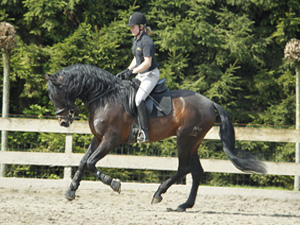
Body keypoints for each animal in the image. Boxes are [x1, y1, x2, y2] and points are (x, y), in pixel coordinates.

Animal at [45, 64, 266, 212]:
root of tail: (210, 102)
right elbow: (83, 162)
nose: (63, 122)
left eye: (56, 95)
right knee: (196, 171)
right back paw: (184, 205)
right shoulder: (98, 138)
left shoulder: (111, 140)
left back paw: (159, 194)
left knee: (184, 168)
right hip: (193, 142)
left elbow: (91, 163)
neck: (105, 98)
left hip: (184, 139)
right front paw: (71, 191)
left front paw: (114, 183)